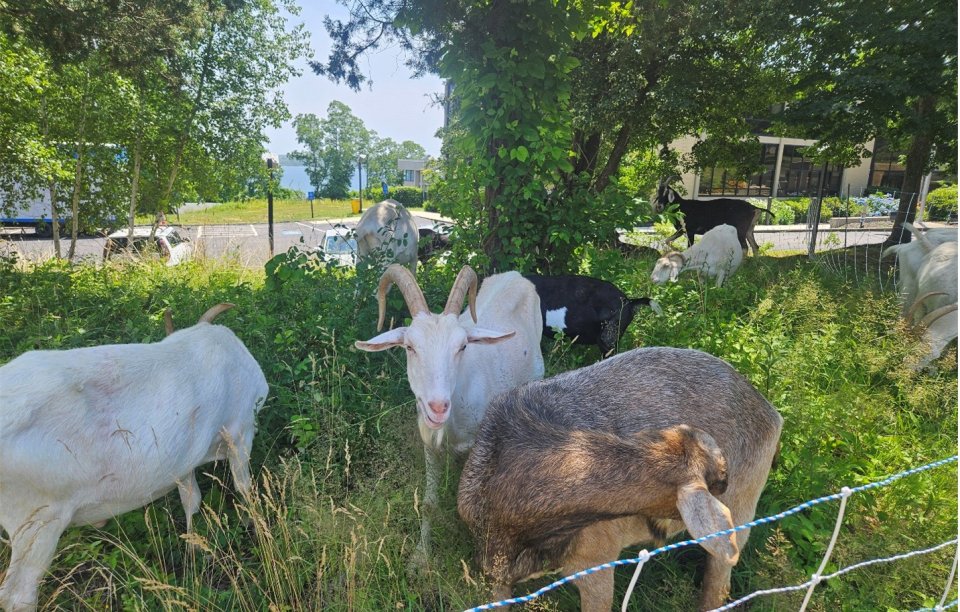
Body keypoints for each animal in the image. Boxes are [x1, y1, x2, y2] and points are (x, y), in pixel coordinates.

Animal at [0, 304, 268, 612]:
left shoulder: (183, 459)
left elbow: (191, 499)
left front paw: (191, 550)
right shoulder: (241, 433)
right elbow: (244, 489)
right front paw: (256, 527)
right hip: (38, 524)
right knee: (18, 596)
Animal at [355, 265, 544, 566]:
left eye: (462, 347)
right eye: (409, 347)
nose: (438, 407)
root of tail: (516, 275)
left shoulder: (478, 448)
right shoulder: (429, 443)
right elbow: (429, 504)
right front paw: (420, 558)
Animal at [458, 347, 782, 611]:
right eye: (718, 479)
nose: (726, 478)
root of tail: (767, 407)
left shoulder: (596, 567)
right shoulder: (496, 575)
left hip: (741, 512)